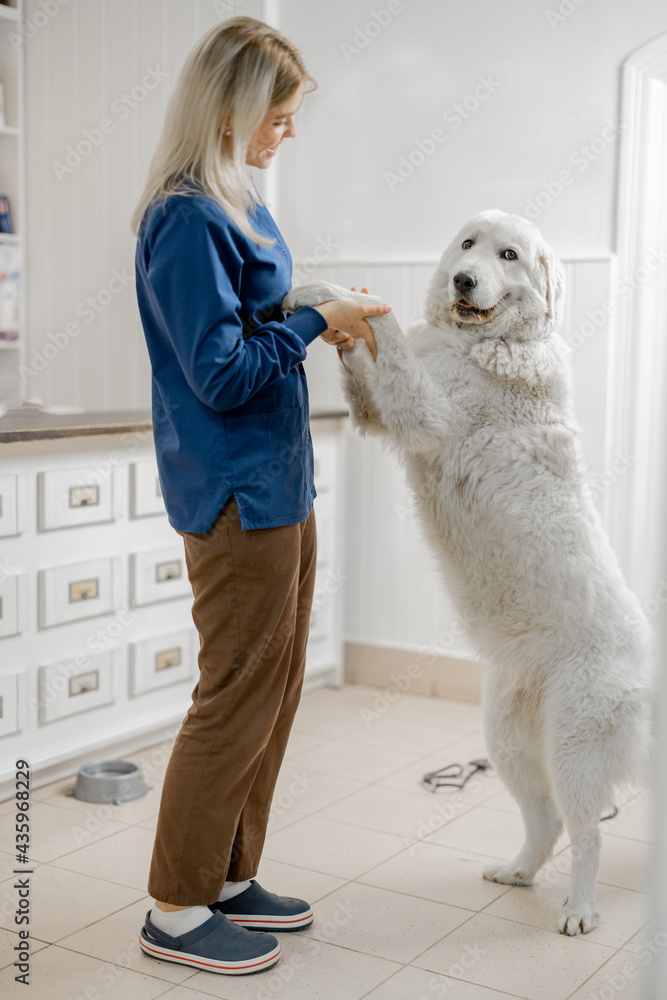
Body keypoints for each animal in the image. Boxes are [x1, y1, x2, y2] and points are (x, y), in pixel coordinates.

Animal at [284, 211, 656, 936]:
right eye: (466, 245)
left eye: (506, 256)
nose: (463, 279)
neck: (488, 342)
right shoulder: (384, 415)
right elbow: (368, 365)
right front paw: (339, 317)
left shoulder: (423, 413)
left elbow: (391, 334)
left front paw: (326, 293)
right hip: (507, 740)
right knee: (544, 821)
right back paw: (518, 871)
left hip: (573, 748)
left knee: (588, 833)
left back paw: (578, 910)